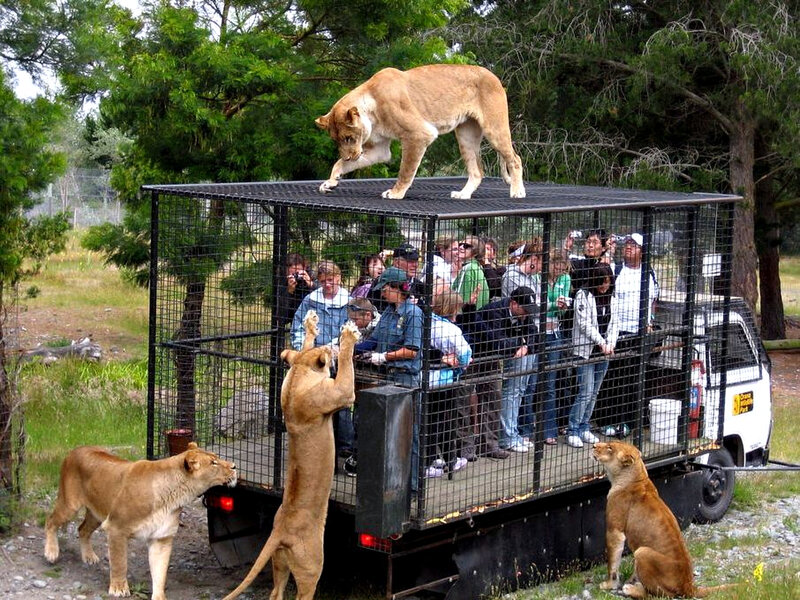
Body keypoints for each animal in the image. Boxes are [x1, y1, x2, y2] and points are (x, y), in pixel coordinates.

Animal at [44, 443, 236, 600]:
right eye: (213, 463)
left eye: (216, 458)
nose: (234, 466)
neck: (174, 496)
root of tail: (75, 450)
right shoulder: (116, 528)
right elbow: (120, 562)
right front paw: (119, 589)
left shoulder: (161, 538)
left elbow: (160, 572)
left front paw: (159, 597)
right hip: (70, 505)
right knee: (50, 521)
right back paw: (51, 552)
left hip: (97, 514)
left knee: (82, 529)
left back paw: (89, 557)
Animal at [223, 309, 361, 600]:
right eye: (329, 349)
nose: (331, 344)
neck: (298, 374)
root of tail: (280, 531)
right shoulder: (341, 393)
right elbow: (345, 369)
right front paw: (348, 336)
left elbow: (302, 346)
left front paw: (310, 324)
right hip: (312, 567)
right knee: (302, 593)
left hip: (280, 563)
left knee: (276, 593)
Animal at [315, 64, 525, 200]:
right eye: (336, 140)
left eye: (348, 138)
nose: (350, 156)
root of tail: (494, 76)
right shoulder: (380, 149)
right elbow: (340, 163)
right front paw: (330, 182)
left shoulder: (418, 134)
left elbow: (406, 170)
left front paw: (395, 193)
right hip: (466, 135)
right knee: (477, 171)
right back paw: (463, 194)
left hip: (494, 129)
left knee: (515, 159)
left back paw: (517, 192)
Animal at [593, 441, 733, 598]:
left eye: (610, 447)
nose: (593, 446)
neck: (637, 476)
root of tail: (688, 586)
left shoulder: (614, 530)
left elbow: (612, 563)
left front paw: (609, 585)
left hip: (642, 552)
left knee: (655, 594)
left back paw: (630, 588)